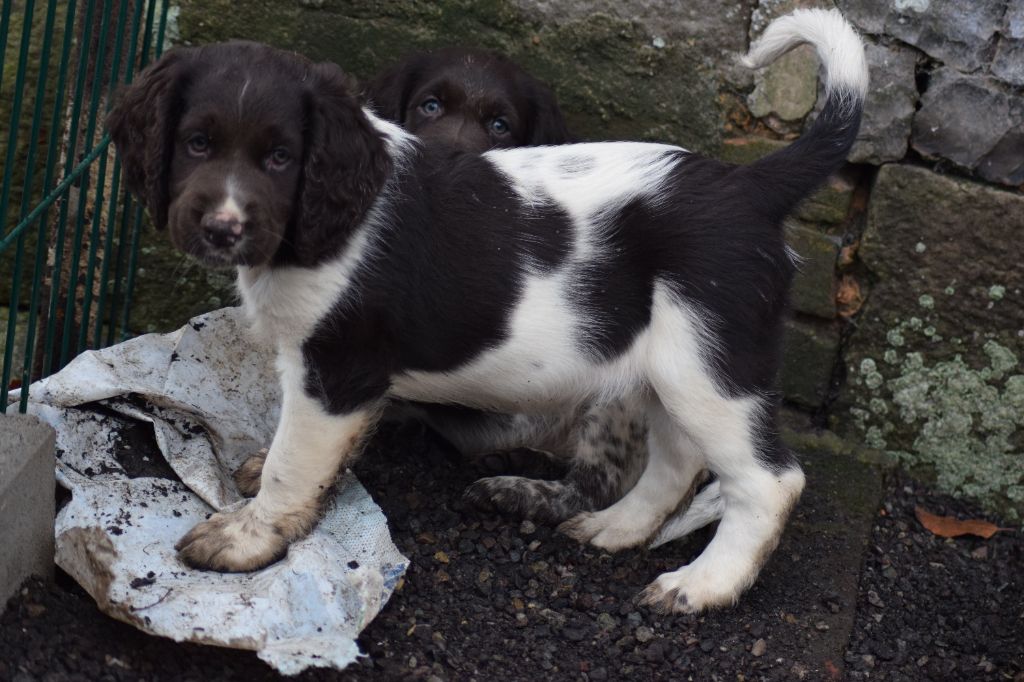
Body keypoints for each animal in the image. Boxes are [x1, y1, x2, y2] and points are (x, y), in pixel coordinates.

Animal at [107, 8, 866, 612]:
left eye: (281, 159)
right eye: (196, 143)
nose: (222, 229)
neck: (328, 217)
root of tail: (750, 186)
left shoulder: (340, 366)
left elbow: (297, 463)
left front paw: (246, 537)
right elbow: (305, 451)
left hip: (710, 365)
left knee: (767, 481)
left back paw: (702, 585)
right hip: (671, 367)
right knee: (677, 462)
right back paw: (616, 530)